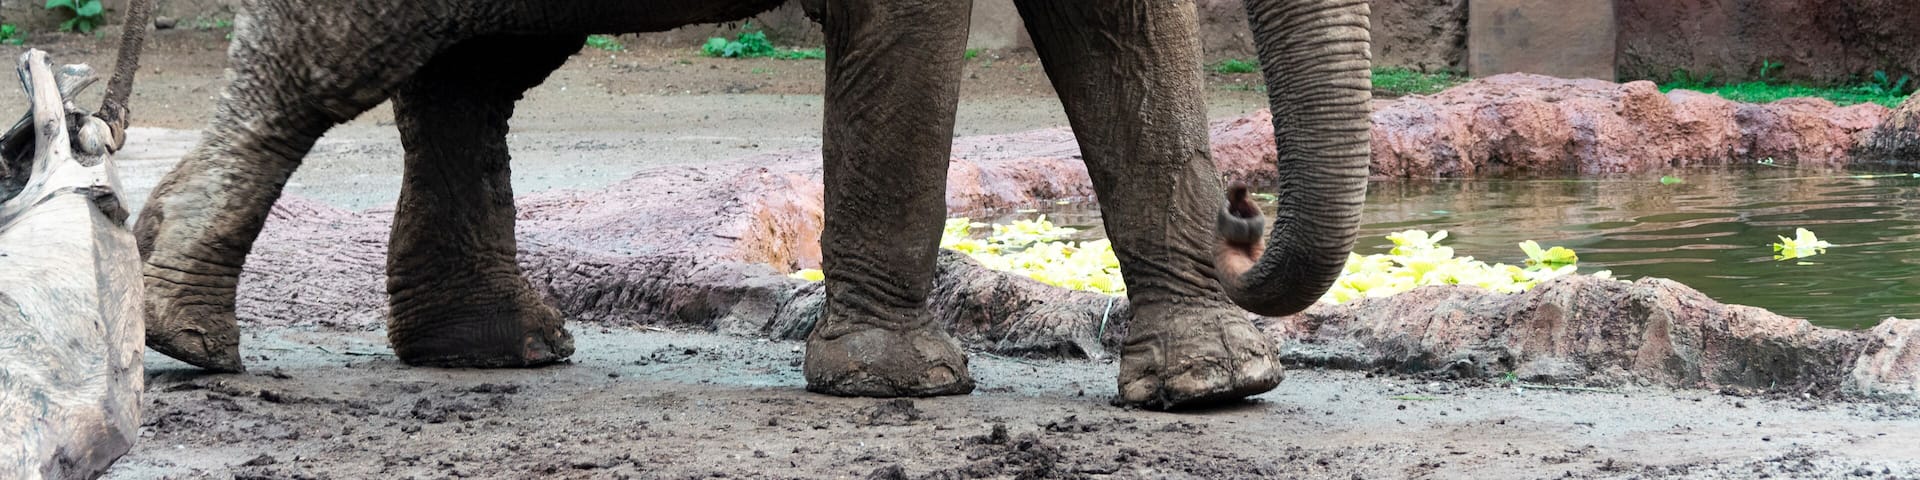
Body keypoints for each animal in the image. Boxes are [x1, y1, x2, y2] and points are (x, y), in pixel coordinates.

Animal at [134, 0, 1372, 409]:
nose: (1243, 208)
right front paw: (896, 385)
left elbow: (1129, 35)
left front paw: (1217, 388)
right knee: (333, 60)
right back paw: (183, 330)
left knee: (471, 74)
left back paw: (494, 350)